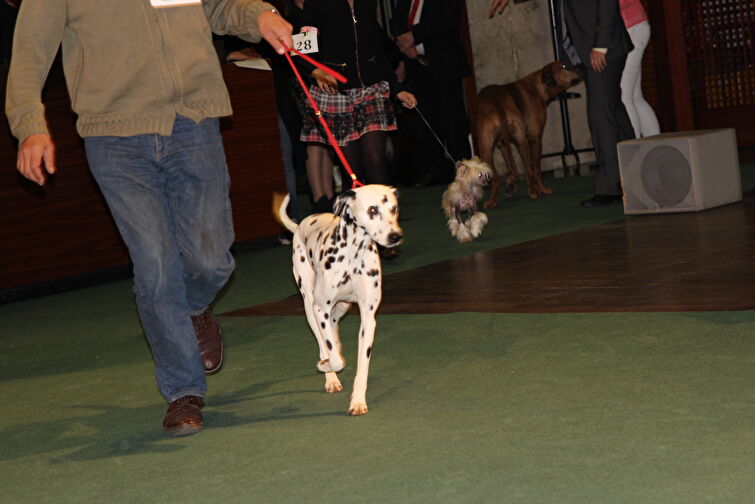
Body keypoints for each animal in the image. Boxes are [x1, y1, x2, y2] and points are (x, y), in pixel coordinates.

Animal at [272, 185, 402, 418]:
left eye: (394, 208)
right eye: (372, 209)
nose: (395, 236)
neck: (353, 255)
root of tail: (301, 224)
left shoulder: (368, 318)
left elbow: (362, 366)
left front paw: (358, 400)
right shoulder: (320, 309)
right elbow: (334, 358)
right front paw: (327, 367)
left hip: (341, 308)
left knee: (333, 331)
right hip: (310, 308)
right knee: (324, 343)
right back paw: (330, 377)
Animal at [476, 62, 580, 208]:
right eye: (564, 66)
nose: (581, 67)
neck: (538, 87)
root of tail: (497, 102)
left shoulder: (502, 144)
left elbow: (511, 167)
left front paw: (510, 184)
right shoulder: (535, 139)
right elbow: (536, 168)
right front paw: (543, 190)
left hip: (486, 149)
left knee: (496, 177)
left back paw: (492, 201)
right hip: (522, 142)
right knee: (528, 169)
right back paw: (534, 193)